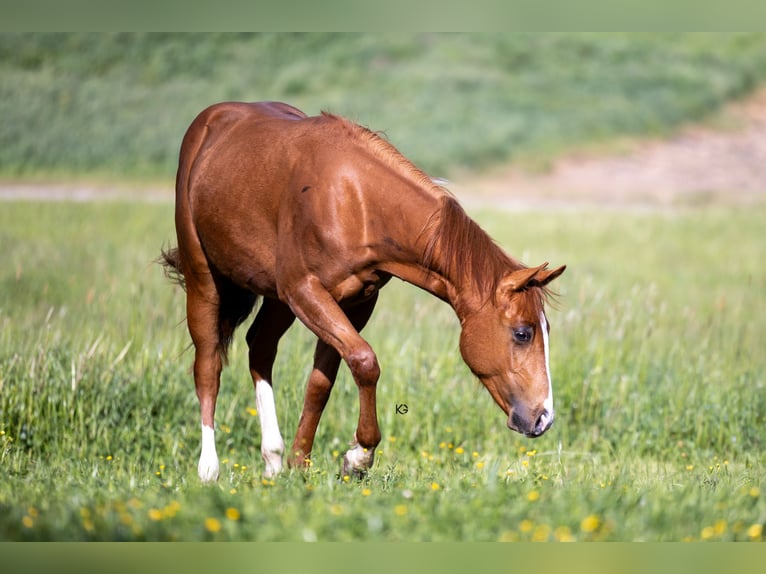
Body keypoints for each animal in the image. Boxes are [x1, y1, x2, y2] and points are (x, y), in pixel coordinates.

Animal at [160, 101, 565, 482]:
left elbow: (323, 383)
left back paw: (273, 459)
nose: (543, 418)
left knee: (259, 348)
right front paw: (359, 457)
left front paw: (301, 463)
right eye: (523, 333)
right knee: (208, 365)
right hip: (205, 280)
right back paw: (209, 469)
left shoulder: (354, 302)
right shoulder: (305, 291)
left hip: (278, 300)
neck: (356, 201)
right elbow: (366, 362)